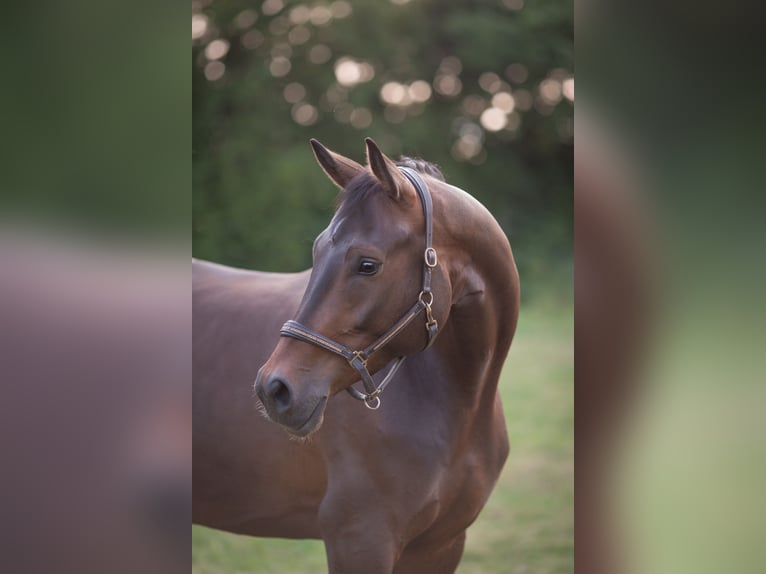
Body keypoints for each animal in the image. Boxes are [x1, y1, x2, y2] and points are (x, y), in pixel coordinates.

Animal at [194, 137, 520, 572]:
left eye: (367, 265)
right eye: (316, 253)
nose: (273, 389)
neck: (462, 404)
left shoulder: (442, 545)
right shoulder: (361, 539)